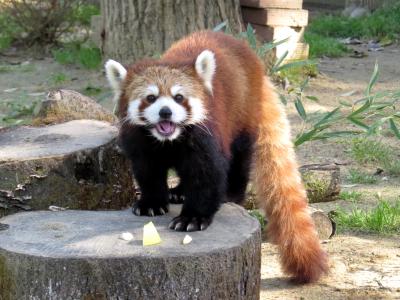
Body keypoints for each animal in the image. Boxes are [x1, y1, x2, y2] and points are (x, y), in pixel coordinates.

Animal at [106, 31, 328, 284]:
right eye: (151, 98)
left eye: (179, 97)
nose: (165, 112)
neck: (169, 140)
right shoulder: (141, 143)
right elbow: (148, 171)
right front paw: (151, 203)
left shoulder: (206, 134)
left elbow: (207, 174)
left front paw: (192, 218)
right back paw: (179, 191)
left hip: (243, 114)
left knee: (240, 159)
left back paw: (230, 194)